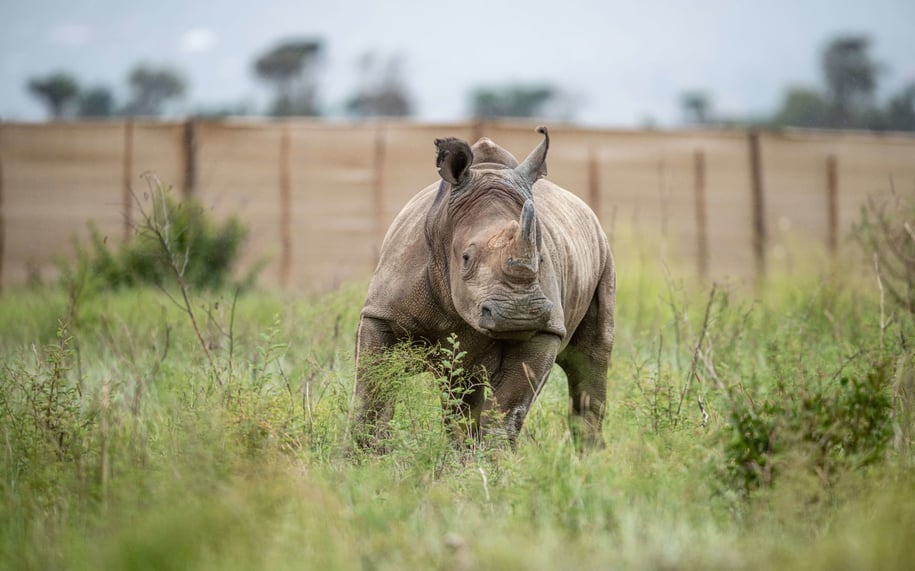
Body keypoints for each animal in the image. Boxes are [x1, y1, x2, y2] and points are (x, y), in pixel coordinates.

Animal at [356, 126, 616, 452]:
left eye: (542, 259)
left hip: (603, 254)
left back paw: (590, 458)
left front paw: (495, 461)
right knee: (460, 389)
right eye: (466, 258)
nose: (519, 314)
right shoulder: (383, 312)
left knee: (591, 360)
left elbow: (507, 411)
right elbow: (372, 392)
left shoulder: (545, 329)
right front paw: (361, 457)